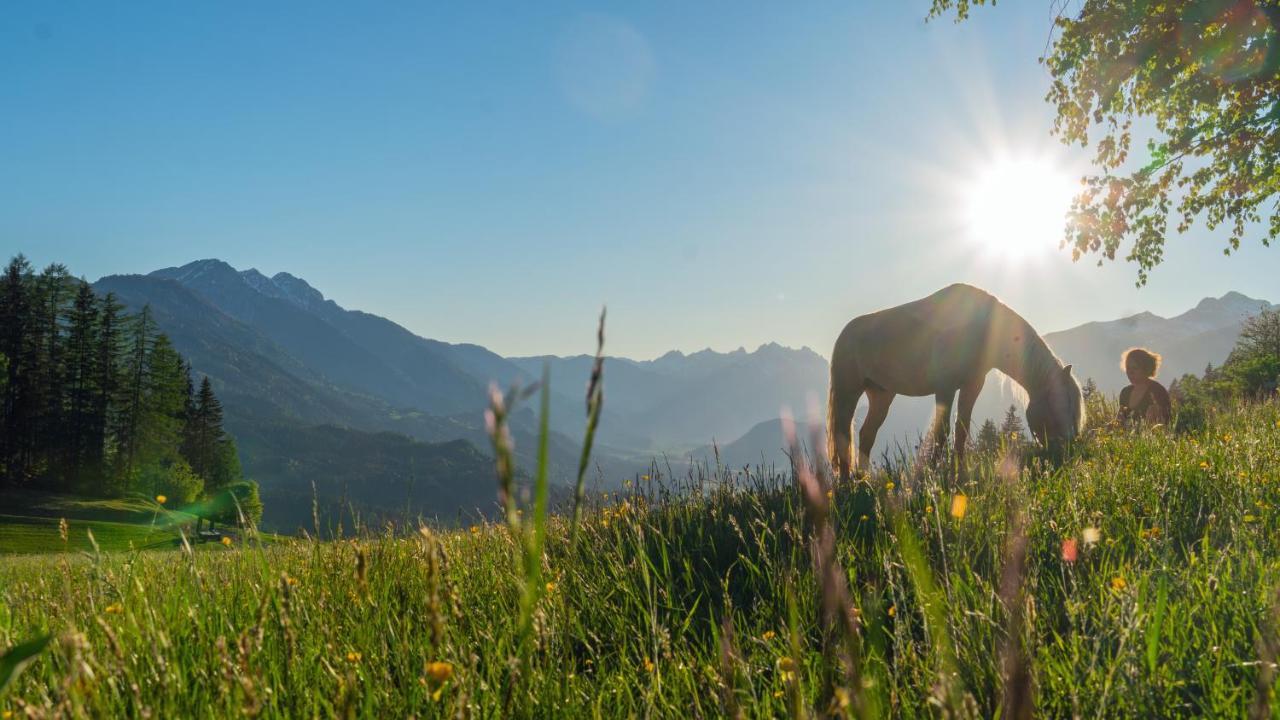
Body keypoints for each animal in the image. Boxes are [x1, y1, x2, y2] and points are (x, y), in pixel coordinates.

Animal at [824, 281, 1085, 476]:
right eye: (1058, 406)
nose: (1068, 451)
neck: (980, 326)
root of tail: (845, 334)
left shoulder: (972, 385)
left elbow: (962, 429)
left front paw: (959, 472)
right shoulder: (945, 388)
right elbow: (941, 433)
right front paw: (934, 475)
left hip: (881, 396)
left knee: (866, 435)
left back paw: (863, 480)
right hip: (848, 393)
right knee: (843, 437)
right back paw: (847, 485)